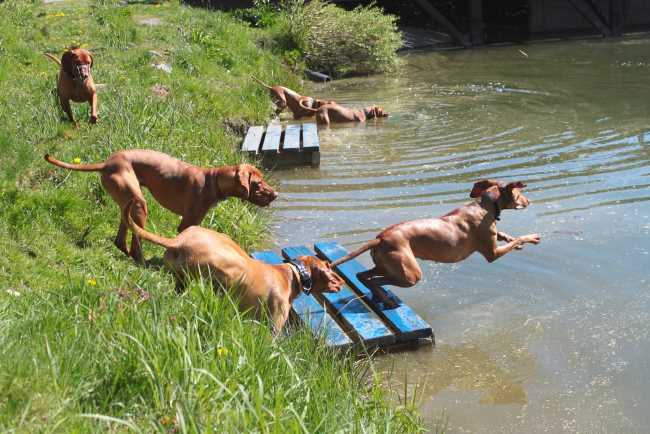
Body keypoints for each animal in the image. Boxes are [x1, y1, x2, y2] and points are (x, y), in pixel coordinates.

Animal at [44, 151, 278, 262]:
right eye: (257, 184)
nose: (276, 195)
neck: (212, 181)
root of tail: (107, 163)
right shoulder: (187, 224)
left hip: (129, 204)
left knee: (121, 240)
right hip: (139, 205)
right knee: (135, 242)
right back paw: (141, 261)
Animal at [123, 200, 344, 332]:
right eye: (328, 266)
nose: (339, 283)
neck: (292, 275)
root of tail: (179, 241)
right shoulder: (274, 323)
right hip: (226, 270)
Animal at [332, 180, 540, 308]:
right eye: (519, 193)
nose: (530, 200)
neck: (484, 205)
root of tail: (380, 238)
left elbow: (506, 236)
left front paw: (512, 239)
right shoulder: (492, 254)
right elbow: (519, 237)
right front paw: (531, 237)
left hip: (386, 266)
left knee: (362, 275)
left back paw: (378, 296)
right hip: (409, 274)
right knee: (374, 280)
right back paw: (385, 299)